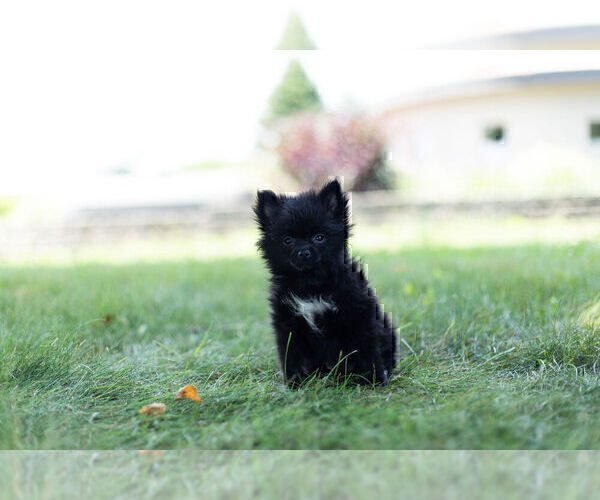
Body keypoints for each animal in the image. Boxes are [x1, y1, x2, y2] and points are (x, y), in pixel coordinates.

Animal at [255, 180, 396, 386]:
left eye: (319, 237)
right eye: (288, 240)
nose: (304, 252)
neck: (311, 284)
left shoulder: (358, 314)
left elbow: (367, 348)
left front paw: (375, 379)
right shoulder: (287, 321)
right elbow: (291, 355)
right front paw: (295, 382)